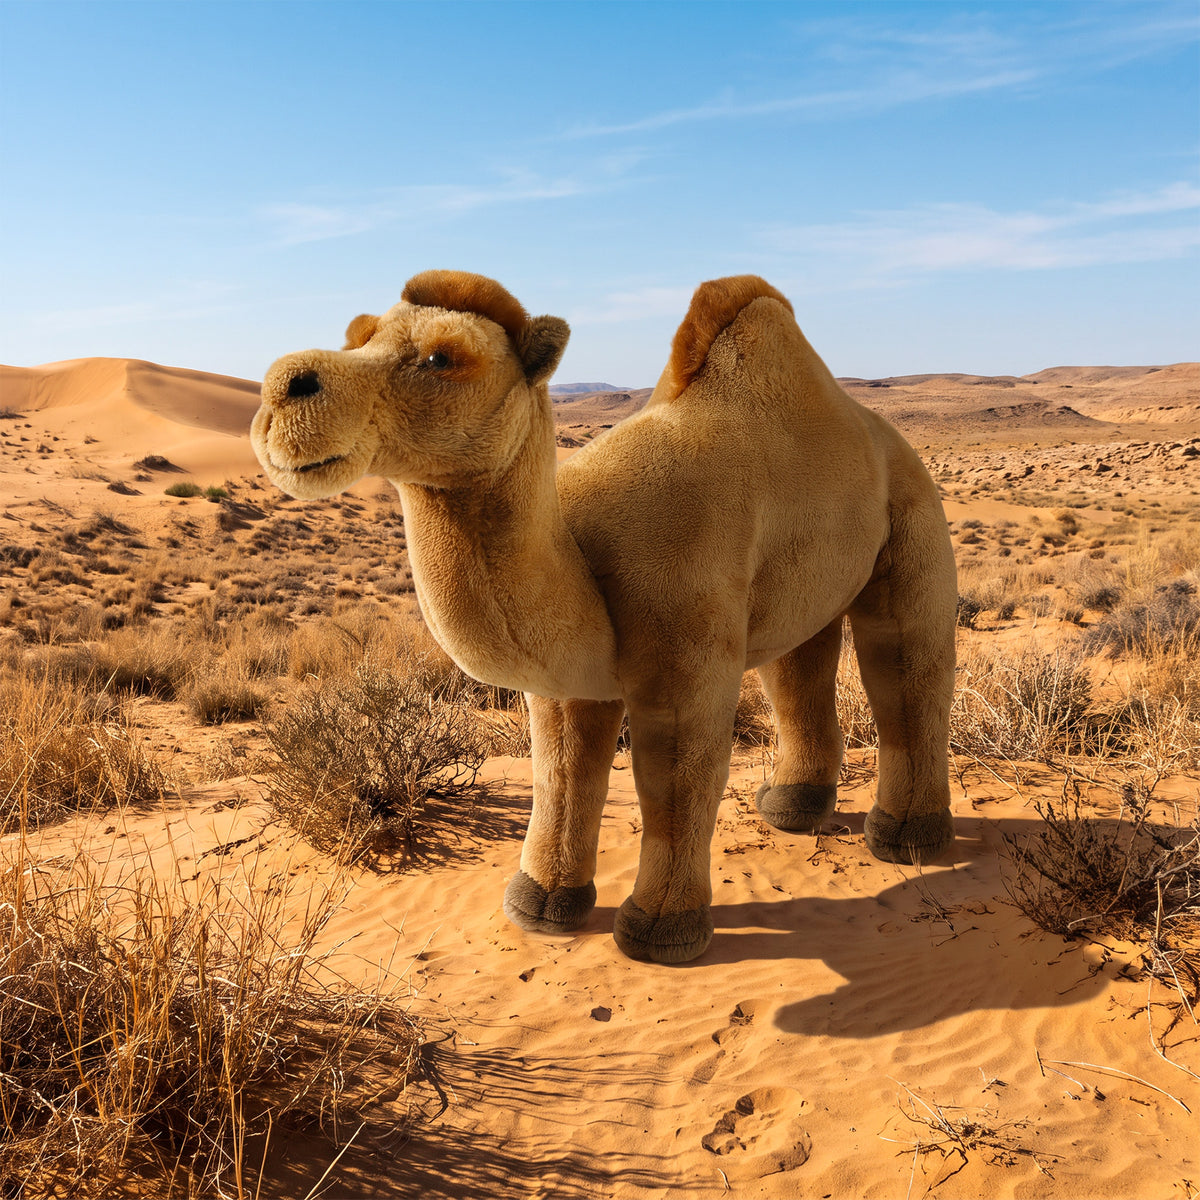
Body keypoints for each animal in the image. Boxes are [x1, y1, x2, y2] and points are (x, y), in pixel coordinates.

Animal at [251, 270, 957, 964]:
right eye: (361, 335)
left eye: (442, 357)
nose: (285, 386)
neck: (584, 562)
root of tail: (881, 431)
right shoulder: (571, 685)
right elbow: (563, 775)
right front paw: (541, 904)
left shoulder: (685, 652)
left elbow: (675, 781)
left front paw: (660, 931)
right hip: (801, 583)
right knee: (797, 667)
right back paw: (792, 809)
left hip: (914, 515)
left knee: (907, 667)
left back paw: (908, 838)